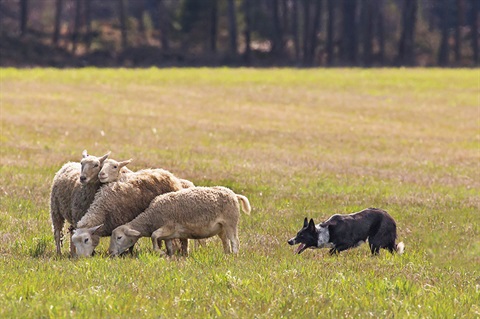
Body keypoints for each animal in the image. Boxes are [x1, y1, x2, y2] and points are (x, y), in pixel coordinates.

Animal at [108, 188, 251, 258]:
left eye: (119, 237)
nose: (111, 253)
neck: (152, 217)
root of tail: (234, 194)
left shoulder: (169, 226)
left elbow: (154, 236)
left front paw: (159, 252)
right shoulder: (169, 234)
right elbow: (169, 245)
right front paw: (170, 255)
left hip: (231, 222)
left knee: (235, 241)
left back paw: (234, 256)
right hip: (221, 227)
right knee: (225, 242)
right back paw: (226, 254)